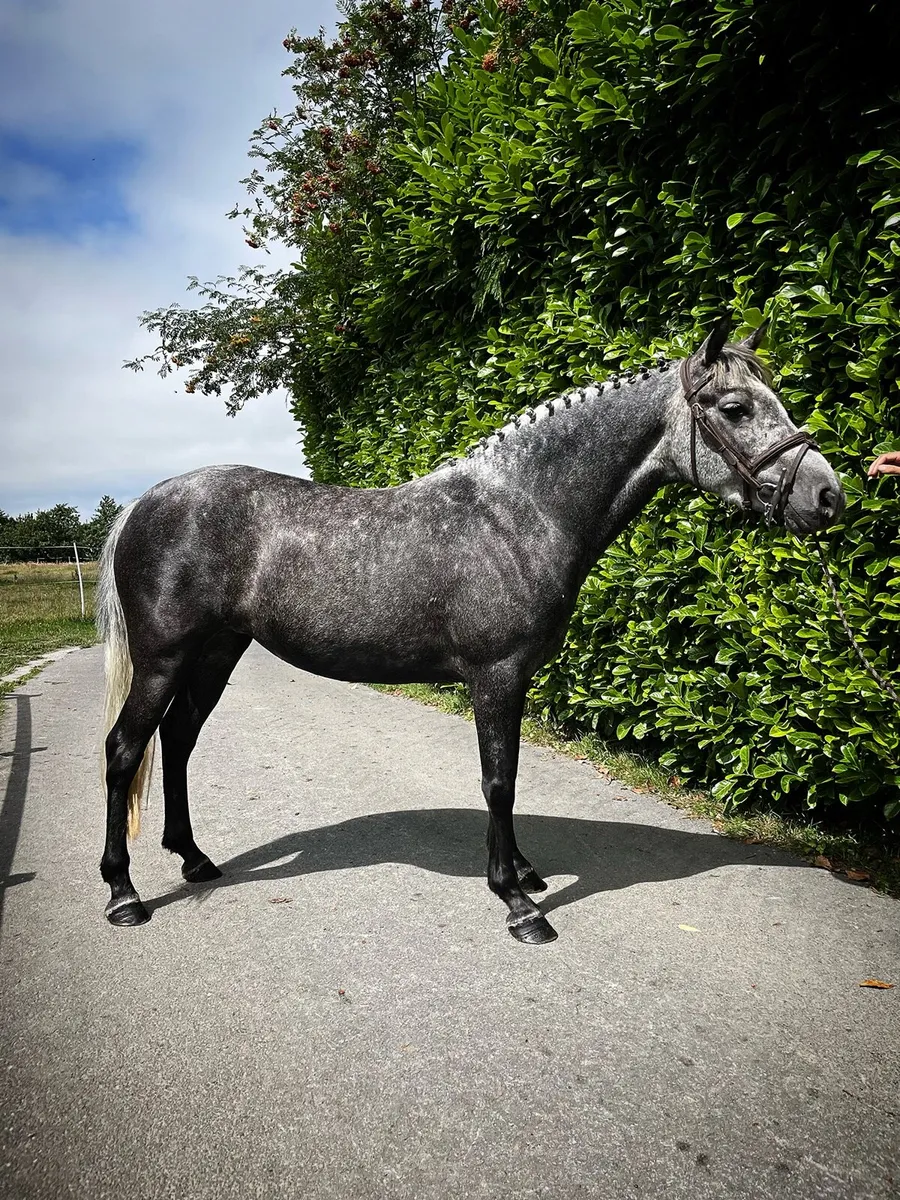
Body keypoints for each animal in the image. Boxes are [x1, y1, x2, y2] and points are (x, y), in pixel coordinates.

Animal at [97, 319, 844, 944]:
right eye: (735, 408)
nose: (828, 497)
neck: (521, 512)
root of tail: (145, 502)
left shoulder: (513, 681)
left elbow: (507, 777)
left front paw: (525, 872)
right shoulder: (496, 675)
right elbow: (499, 781)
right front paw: (518, 903)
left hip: (216, 653)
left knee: (178, 739)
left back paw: (194, 860)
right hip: (164, 658)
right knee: (126, 749)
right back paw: (124, 894)